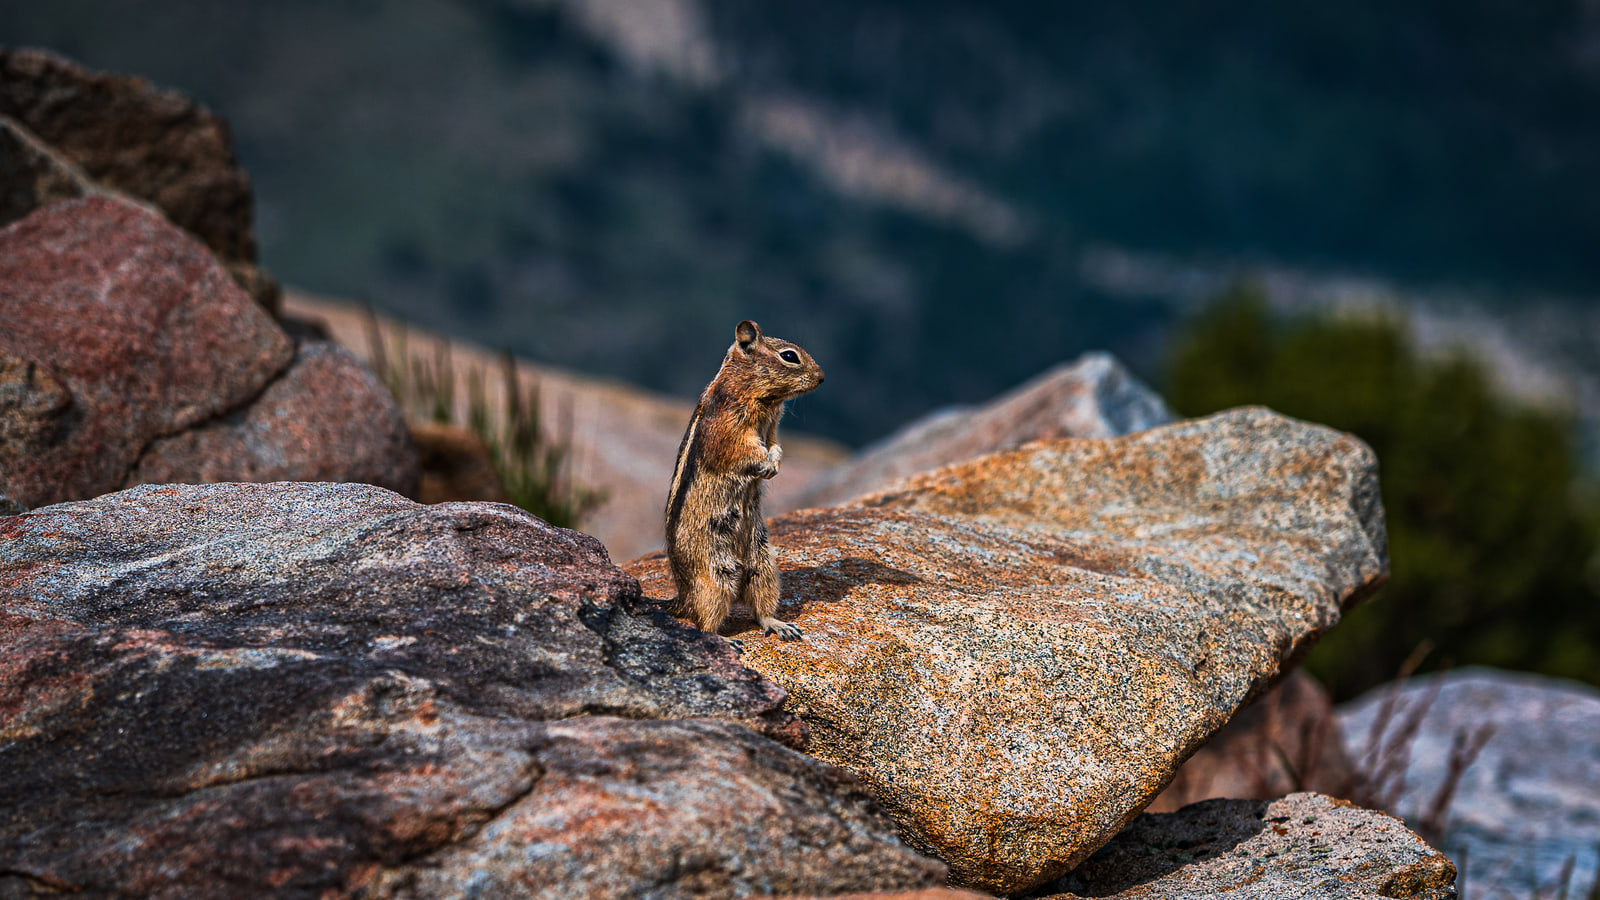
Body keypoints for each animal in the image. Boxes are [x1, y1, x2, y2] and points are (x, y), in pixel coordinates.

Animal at [665, 320, 824, 644]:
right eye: (790, 356)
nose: (822, 377)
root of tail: (682, 597)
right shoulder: (731, 427)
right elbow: (746, 450)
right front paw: (766, 464)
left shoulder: (773, 428)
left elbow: (775, 445)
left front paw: (775, 463)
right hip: (714, 578)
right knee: (703, 622)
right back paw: (725, 639)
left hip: (764, 566)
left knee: (760, 609)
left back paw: (780, 625)